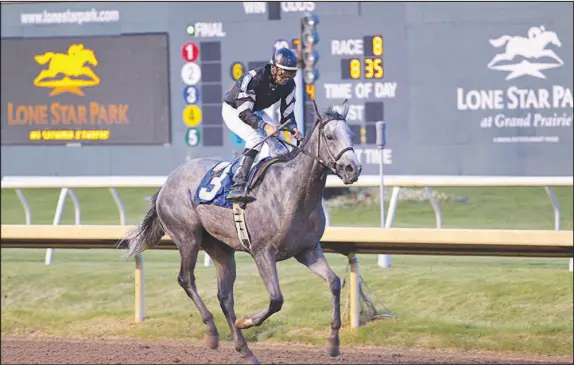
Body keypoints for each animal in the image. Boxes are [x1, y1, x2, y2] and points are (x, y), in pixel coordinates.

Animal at [121, 98, 362, 362]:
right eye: (329, 136)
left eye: (351, 133)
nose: (353, 169)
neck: (295, 192)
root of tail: (167, 182)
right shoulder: (262, 252)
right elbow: (277, 299)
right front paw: (247, 321)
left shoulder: (307, 250)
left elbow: (335, 282)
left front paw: (333, 342)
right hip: (187, 237)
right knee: (186, 279)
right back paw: (212, 331)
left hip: (221, 249)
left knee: (225, 297)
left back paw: (245, 350)